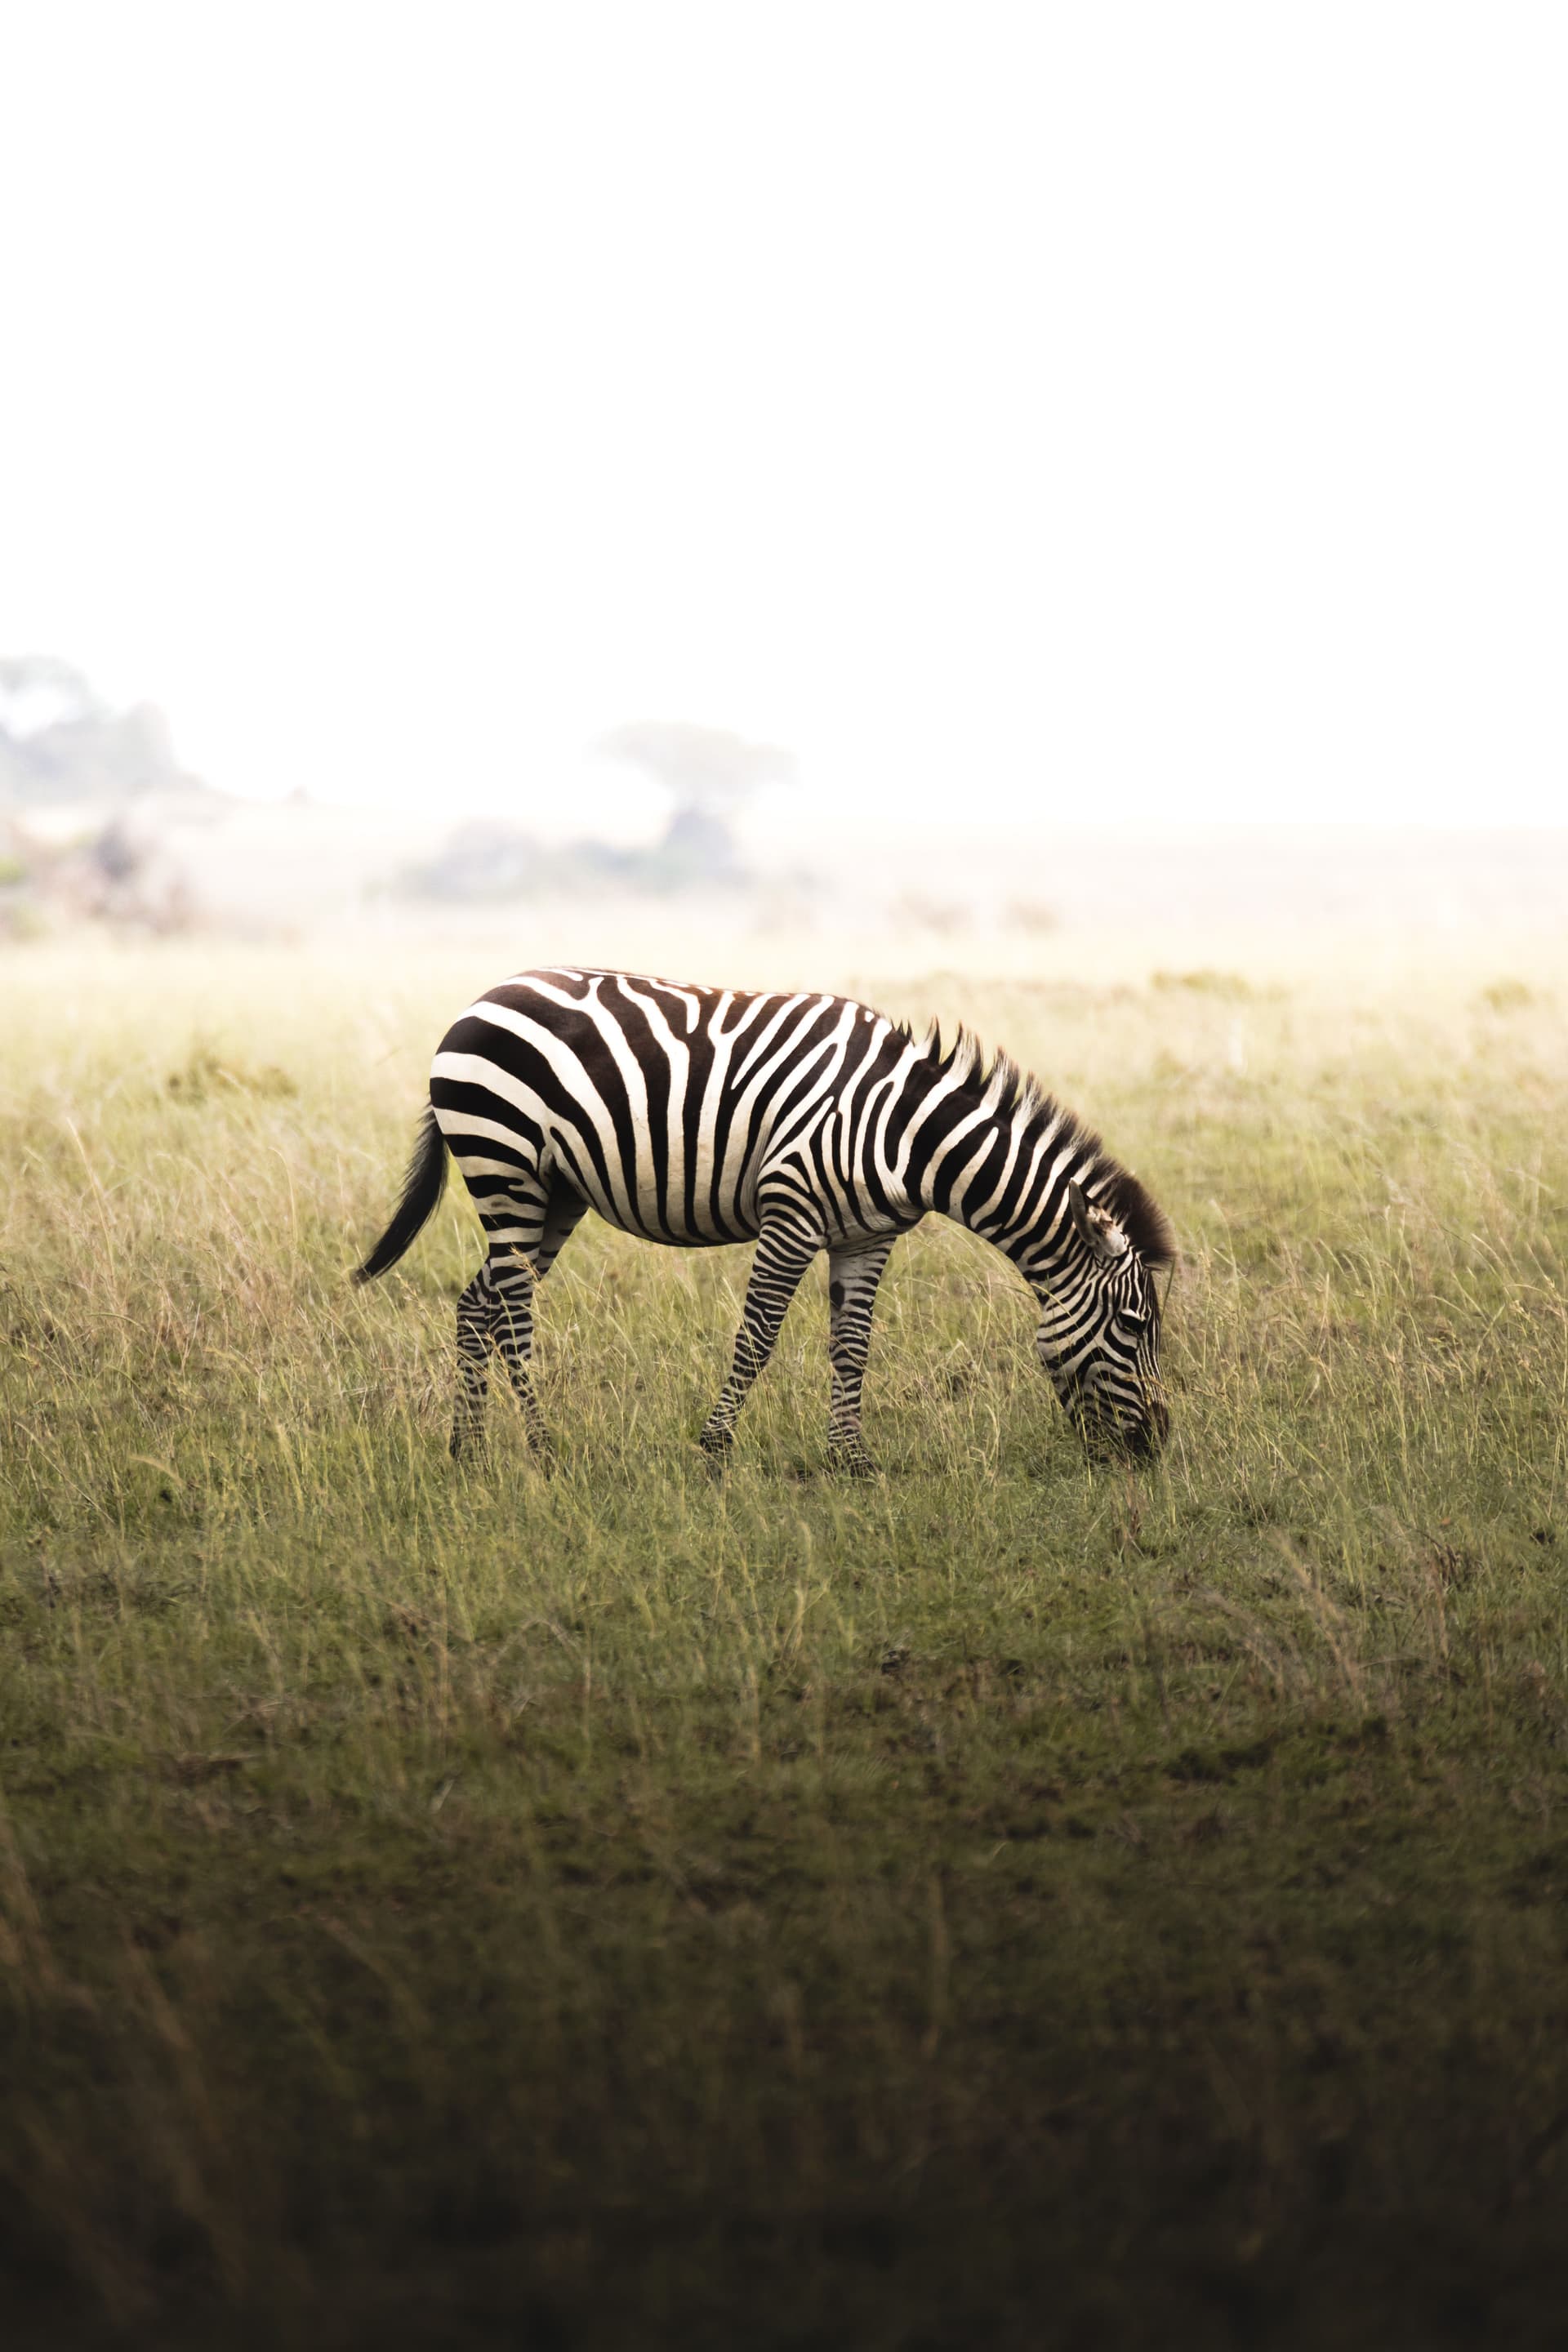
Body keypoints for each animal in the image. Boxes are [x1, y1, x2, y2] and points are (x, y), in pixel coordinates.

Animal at [354, 966, 1175, 1469]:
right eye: (1135, 1326)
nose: (1157, 1444)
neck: (908, 1132)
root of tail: (483, 997)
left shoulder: (867, 1237)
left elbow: (853, 1346)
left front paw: (851, 1460)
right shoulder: (791, 1210)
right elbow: (757, 1338)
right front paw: (714, 1449)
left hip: (553, 1192)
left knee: (480, 1305)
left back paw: (467, 1449)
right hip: (505, 1167)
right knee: (515, 1310)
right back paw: (543, 1448)